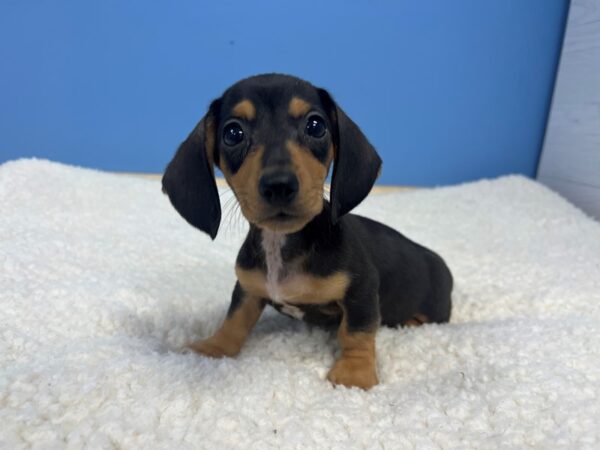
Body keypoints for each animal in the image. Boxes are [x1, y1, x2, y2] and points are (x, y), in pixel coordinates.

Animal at [162, 74, 452, 390]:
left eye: (316, 126)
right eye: (233, 133)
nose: (279, 185)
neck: (282, 244)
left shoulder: (361, 289)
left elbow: (357, 331)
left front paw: (355, 373)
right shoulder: (248, 288)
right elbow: (235, 320)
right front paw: (214, 347)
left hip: (436, 311)